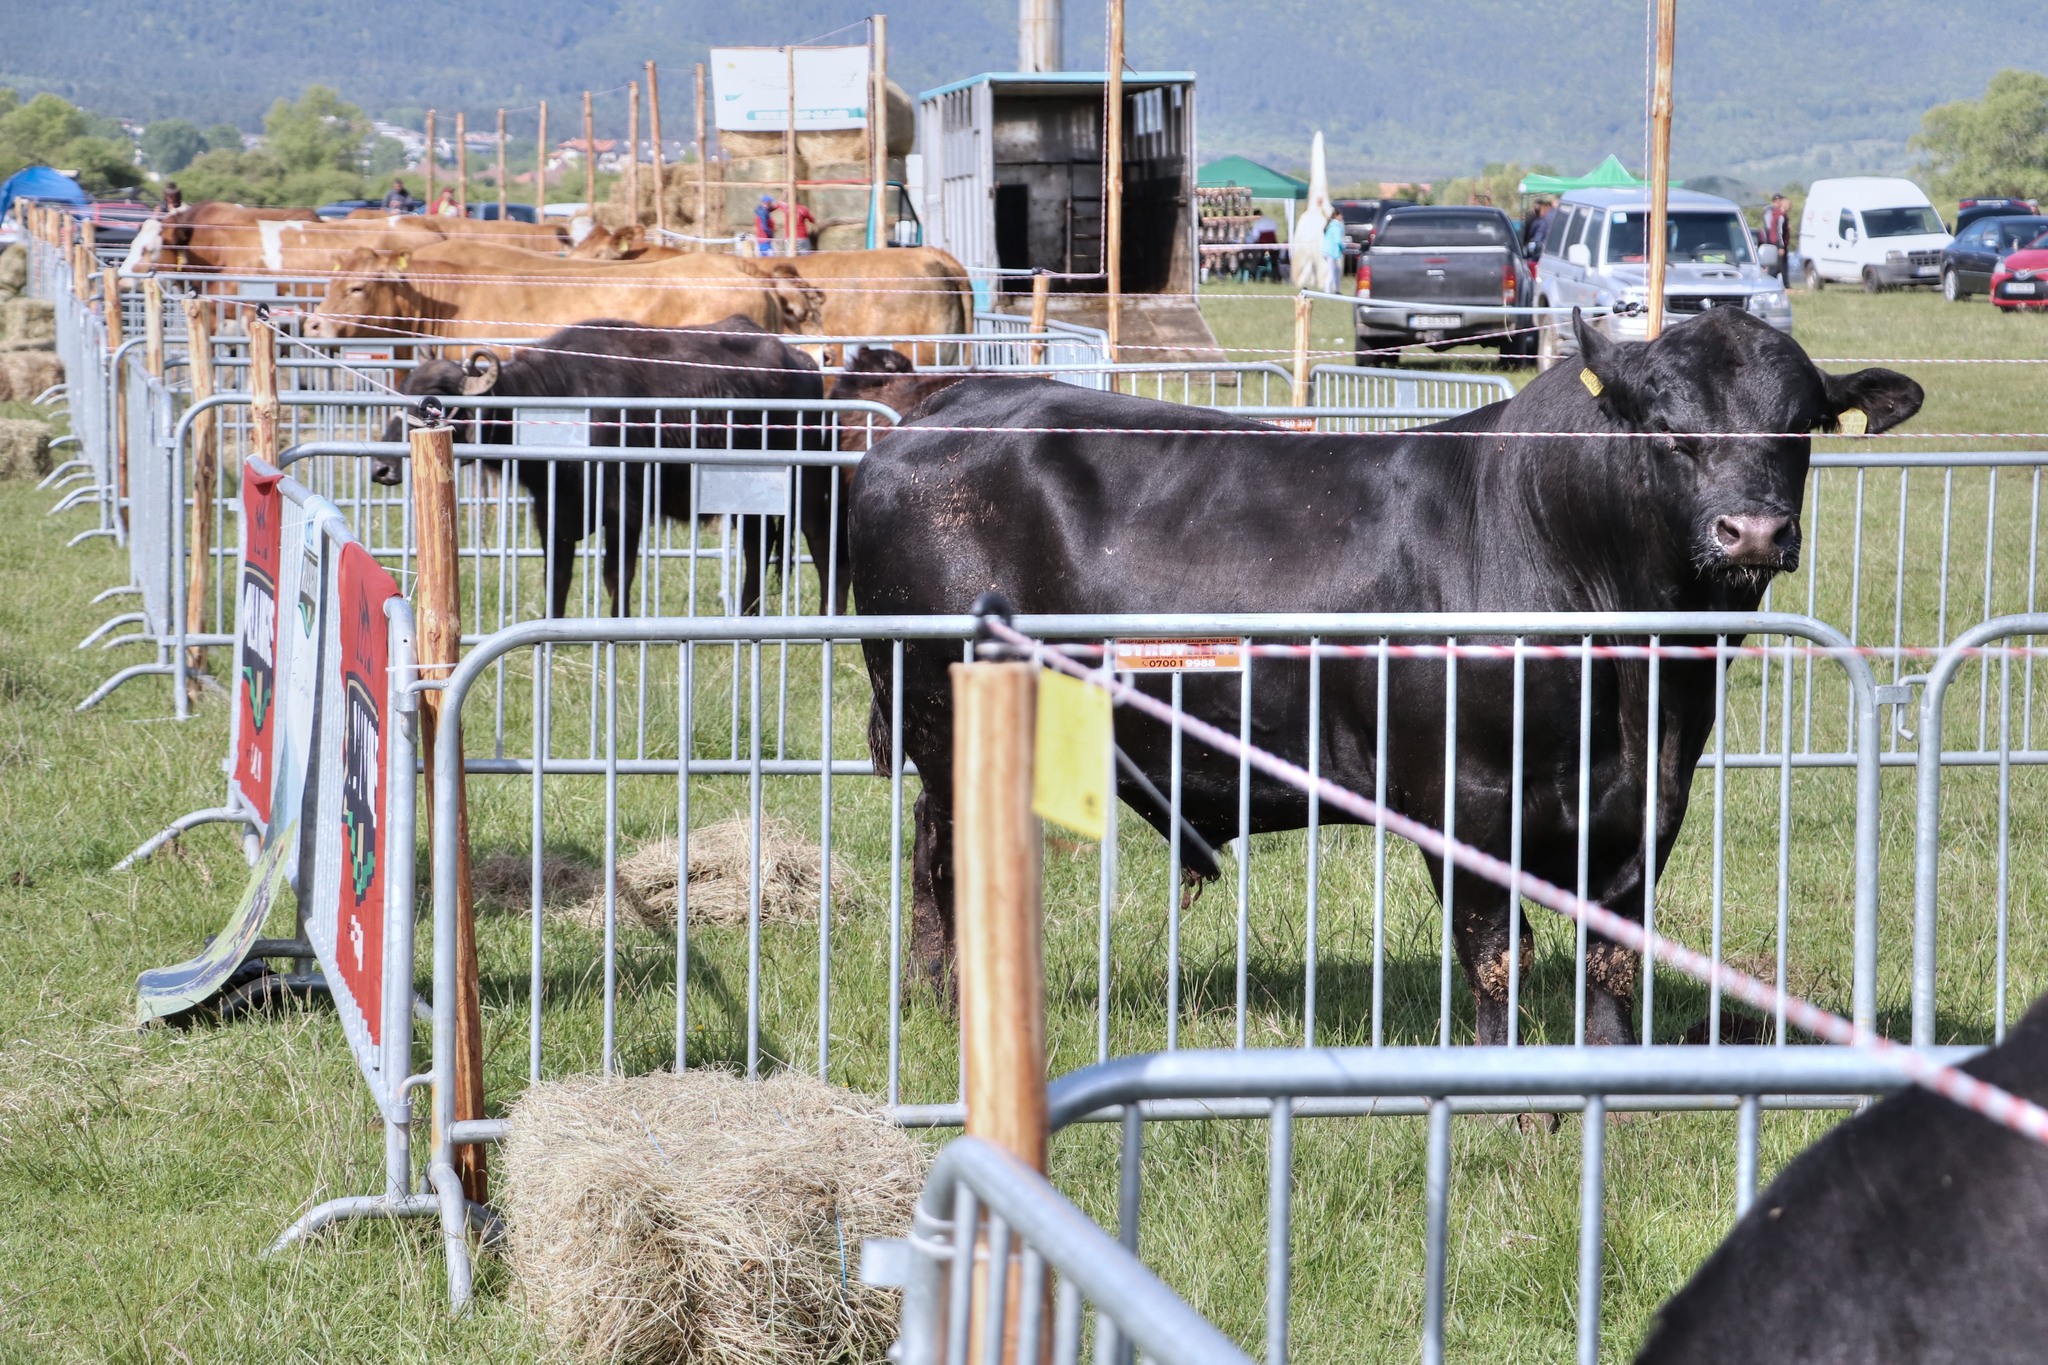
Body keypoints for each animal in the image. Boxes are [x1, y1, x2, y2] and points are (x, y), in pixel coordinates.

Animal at [372, 317, 843, 618]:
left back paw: (828, 611)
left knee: (820, 538)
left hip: (805, 480)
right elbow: (557, 574)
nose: (381, 468)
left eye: (434, 398)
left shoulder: (623, 508)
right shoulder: (551, 510)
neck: (557, 398)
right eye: (404, 389)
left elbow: (617, 574)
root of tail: (803, 363)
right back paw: (748, 613)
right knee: (756, 546)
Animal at [851, 313, 1916, 1047]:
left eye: (1803, 423)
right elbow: (1499, 958)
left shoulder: (1645, 805)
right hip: (941, 714)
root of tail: (942, 407)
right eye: (1662, 425)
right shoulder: (1466, 798)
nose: (1753, 531)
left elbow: (1610, 957)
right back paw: (946, 1002)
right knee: (941, 856)